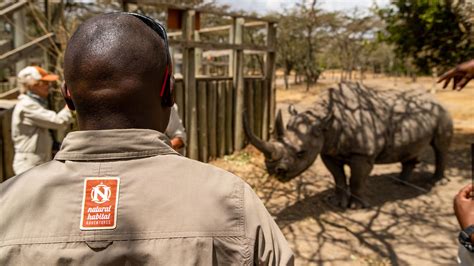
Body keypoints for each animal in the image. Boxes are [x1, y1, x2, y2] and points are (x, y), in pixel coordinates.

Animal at [246, 82, 454, 209]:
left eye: (300, 153)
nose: (274, 171)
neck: (326, 122)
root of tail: (435, 98)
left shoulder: (363, 154)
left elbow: (356, 179)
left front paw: (356, 207)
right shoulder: (328, 150)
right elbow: (338, 177)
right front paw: (337, 203)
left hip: (442, 111)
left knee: (440, 147)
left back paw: (435, 182)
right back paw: (399, 182)